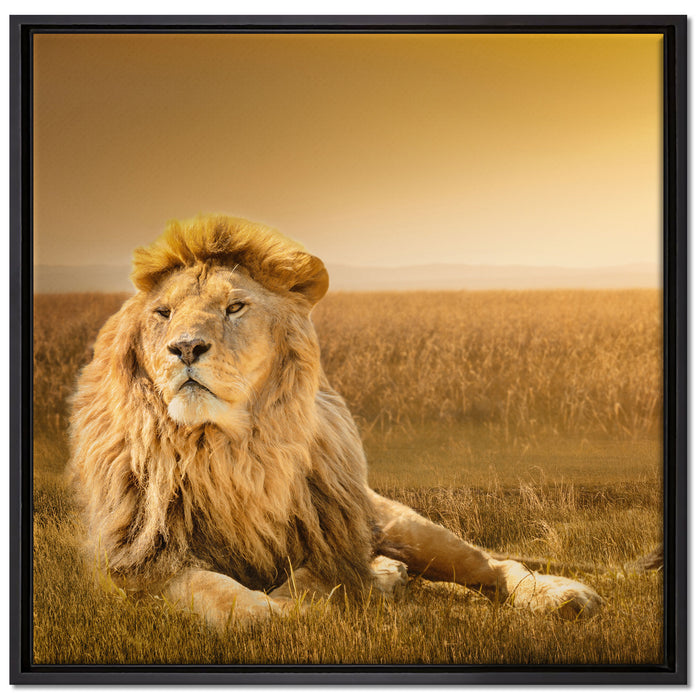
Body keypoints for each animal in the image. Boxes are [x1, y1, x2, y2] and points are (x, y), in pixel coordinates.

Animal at [68, 214, 602, 627]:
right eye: (163, 313)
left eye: (235, 306)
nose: (184, 348)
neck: (228, 450)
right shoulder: (140, 561)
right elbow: (221, 596)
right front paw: (279, 613)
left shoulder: (331, 538)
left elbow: (314, 578)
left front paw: (335, 594)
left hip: (401, 524)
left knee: (492, 564)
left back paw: (563, 596)